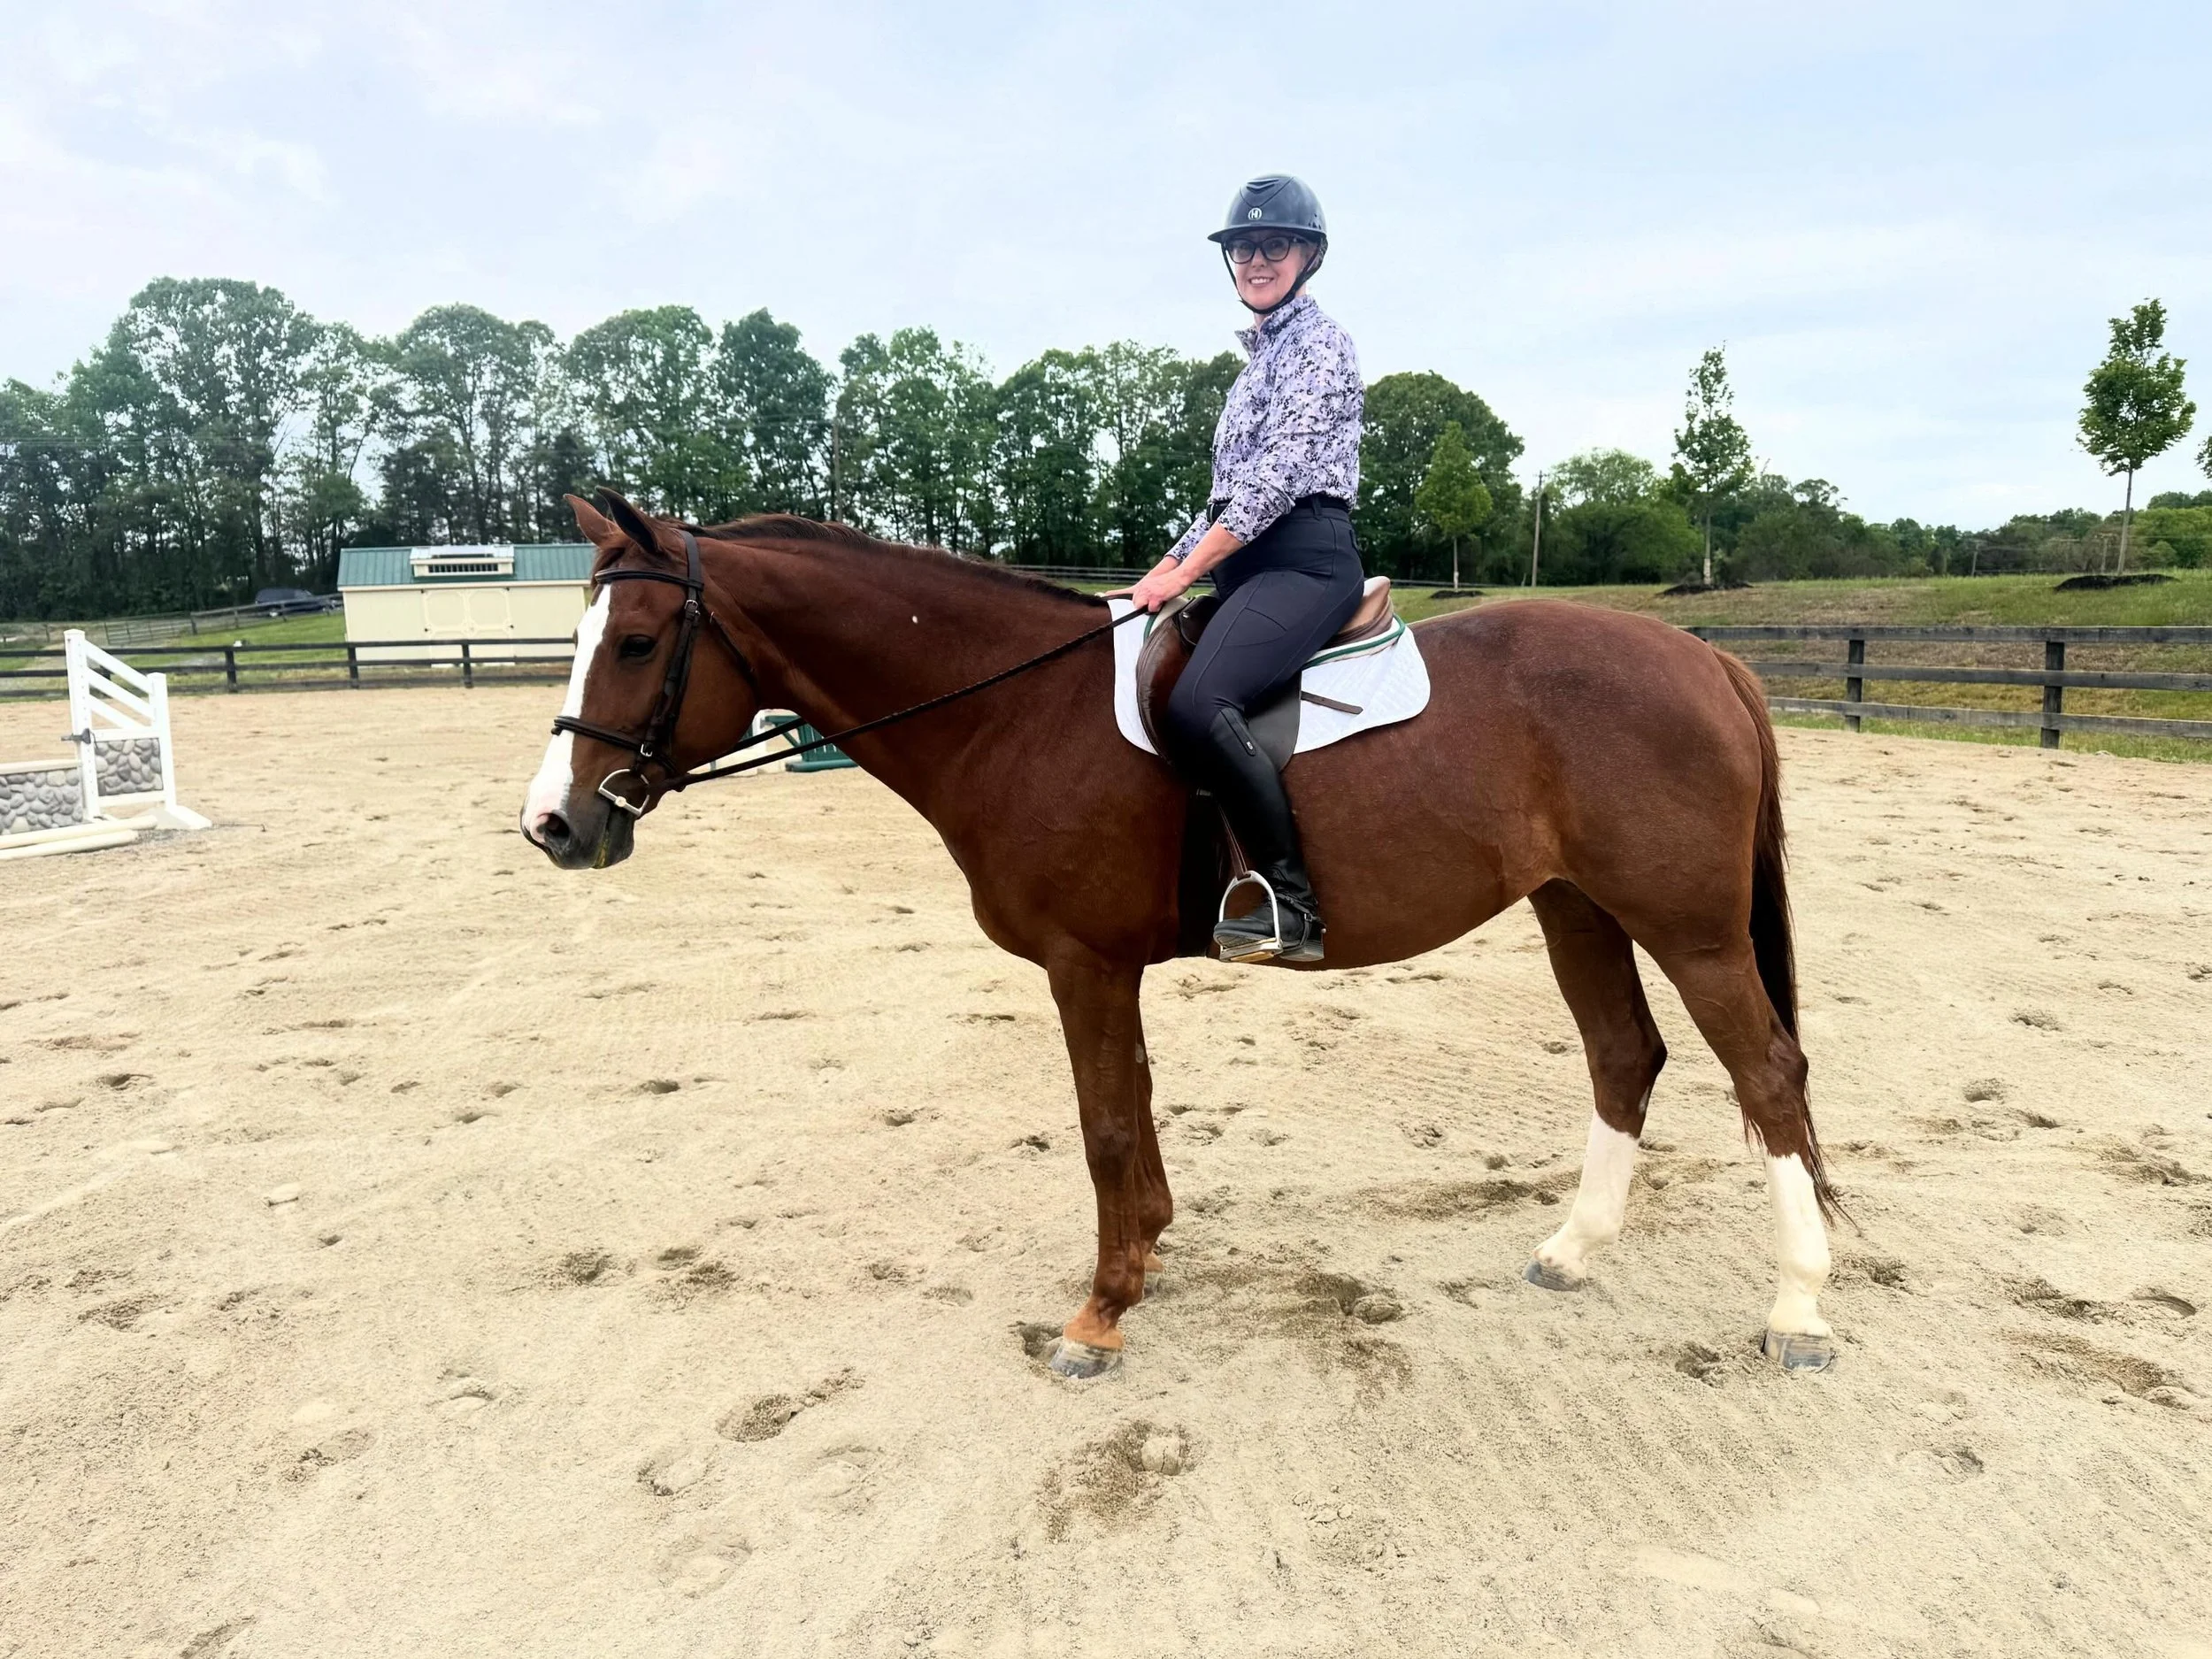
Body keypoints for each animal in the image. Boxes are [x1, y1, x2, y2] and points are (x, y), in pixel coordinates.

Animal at [521, 491, 1844, 1379]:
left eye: (636, 642)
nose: (554, 824)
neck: (1016, 705)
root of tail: (1708, 659)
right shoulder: (1110, 968)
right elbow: (1136, 1112)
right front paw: (1145, 1262)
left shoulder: (1084, 965)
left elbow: (1105, 1126)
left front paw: (1099, 1314)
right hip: (1577, 907)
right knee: (1626, 1056)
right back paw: (1573, 1248)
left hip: (1687, 927)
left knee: (1766, 1074)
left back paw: (1798, 1313)